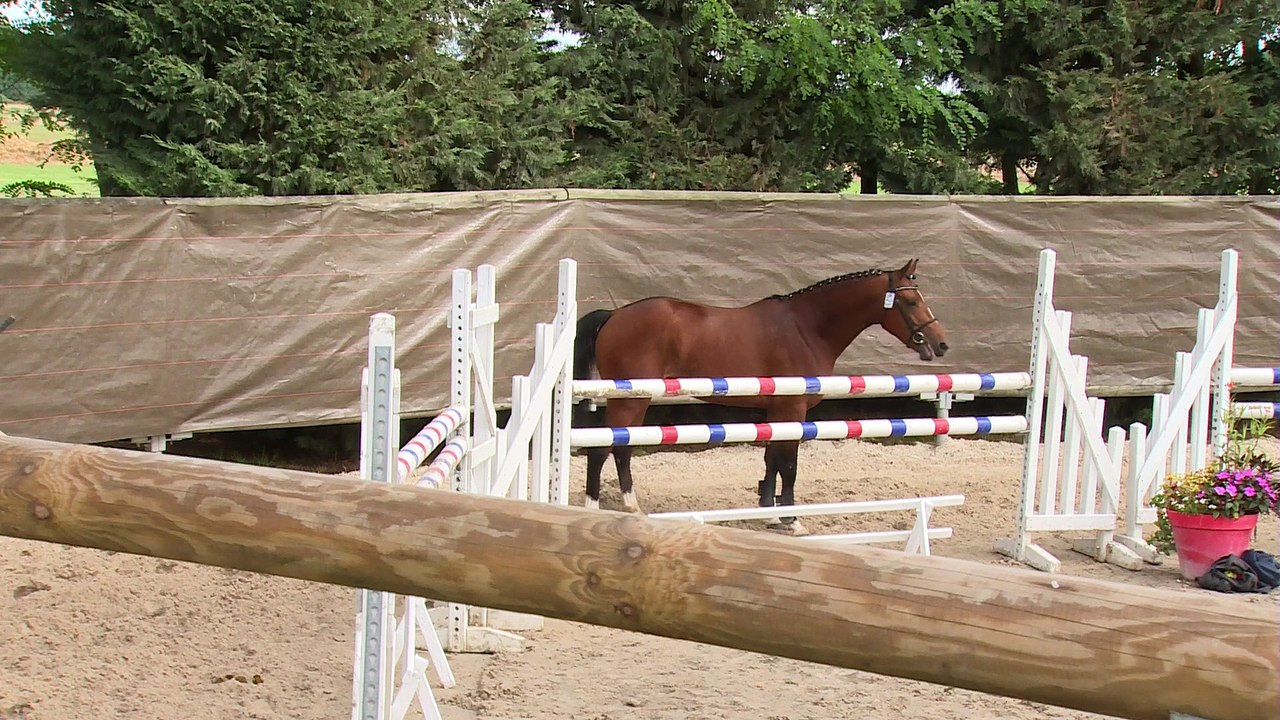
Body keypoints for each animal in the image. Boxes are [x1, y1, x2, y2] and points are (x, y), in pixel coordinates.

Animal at [571, 258, 949, 532]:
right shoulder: (793, 410)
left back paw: (631, 507)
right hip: (630, 399)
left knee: (620, 448)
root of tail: (615, 315)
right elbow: (789, 464)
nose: (940, 343)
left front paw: (768, 512)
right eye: (911, 300)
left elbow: (772, 460)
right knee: (604, 448)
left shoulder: (776, 412)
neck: (806, 328)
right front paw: (792, 520)